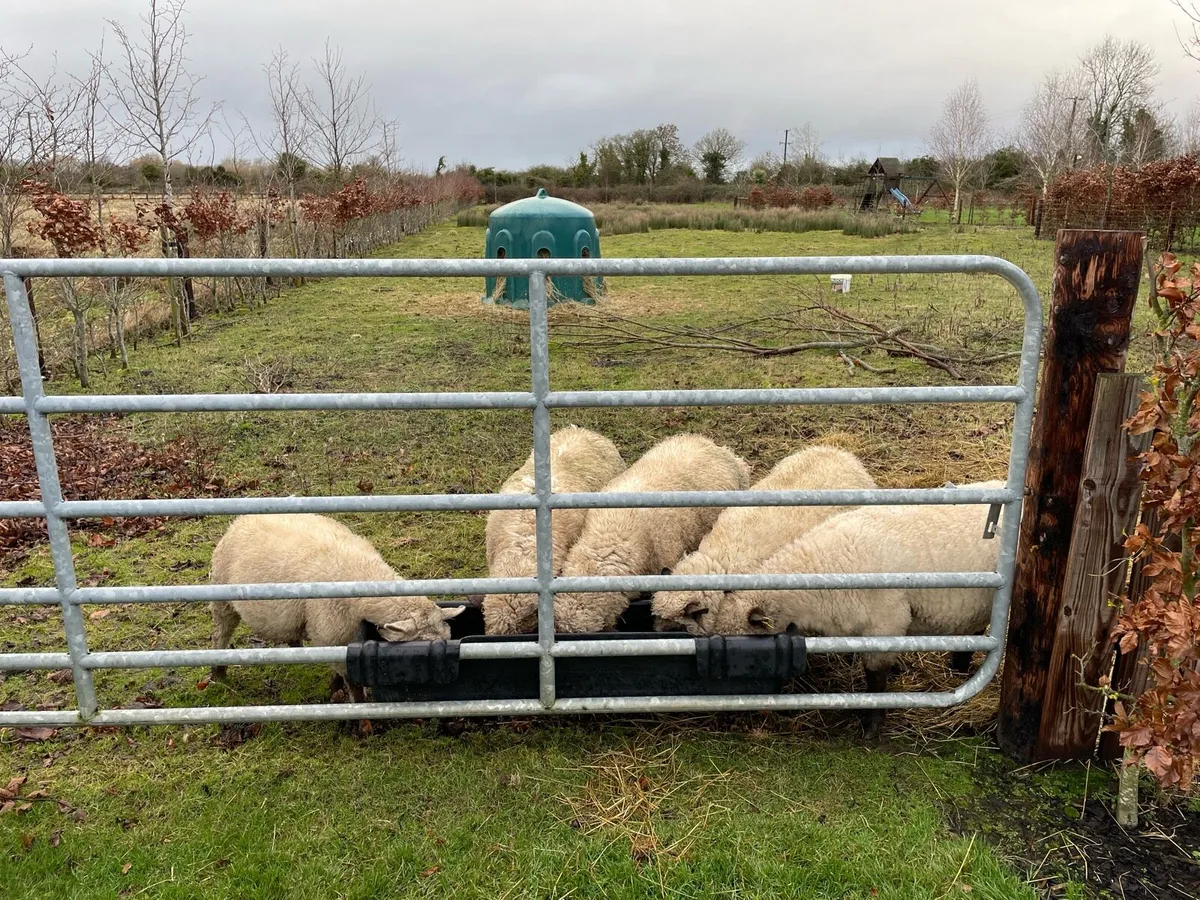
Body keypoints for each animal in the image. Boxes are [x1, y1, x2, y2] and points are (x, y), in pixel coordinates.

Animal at [209, 513, 463, 701]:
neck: (361, 572)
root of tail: (241, 520)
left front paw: (334, 687)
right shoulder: (331, 633)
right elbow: (352, 682)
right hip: (223, 600)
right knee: (220, 635)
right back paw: (217, 674)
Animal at [709, 481, 1006, 737]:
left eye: (742, 655)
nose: (727, 715)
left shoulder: (886, 622)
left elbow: (875, 678)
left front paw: (872, 726)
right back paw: (959, 668)